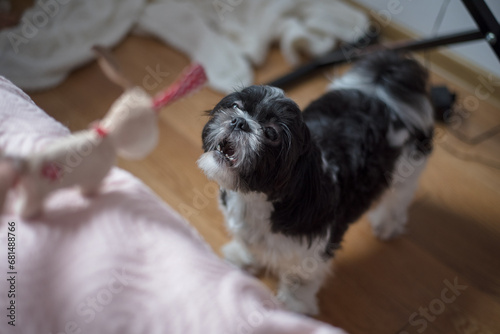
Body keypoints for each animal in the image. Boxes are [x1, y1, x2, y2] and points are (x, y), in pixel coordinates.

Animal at [198, 51, 434, 314]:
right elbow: (247, 244)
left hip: (407, 168)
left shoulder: (311, 251)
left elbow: (300, 279)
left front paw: (293, 307)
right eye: (236, 106)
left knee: (398, 197)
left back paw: (387, 224)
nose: (239, 122)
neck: (256, 199)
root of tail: (382, 94)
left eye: (271, 134)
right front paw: (241, 257)